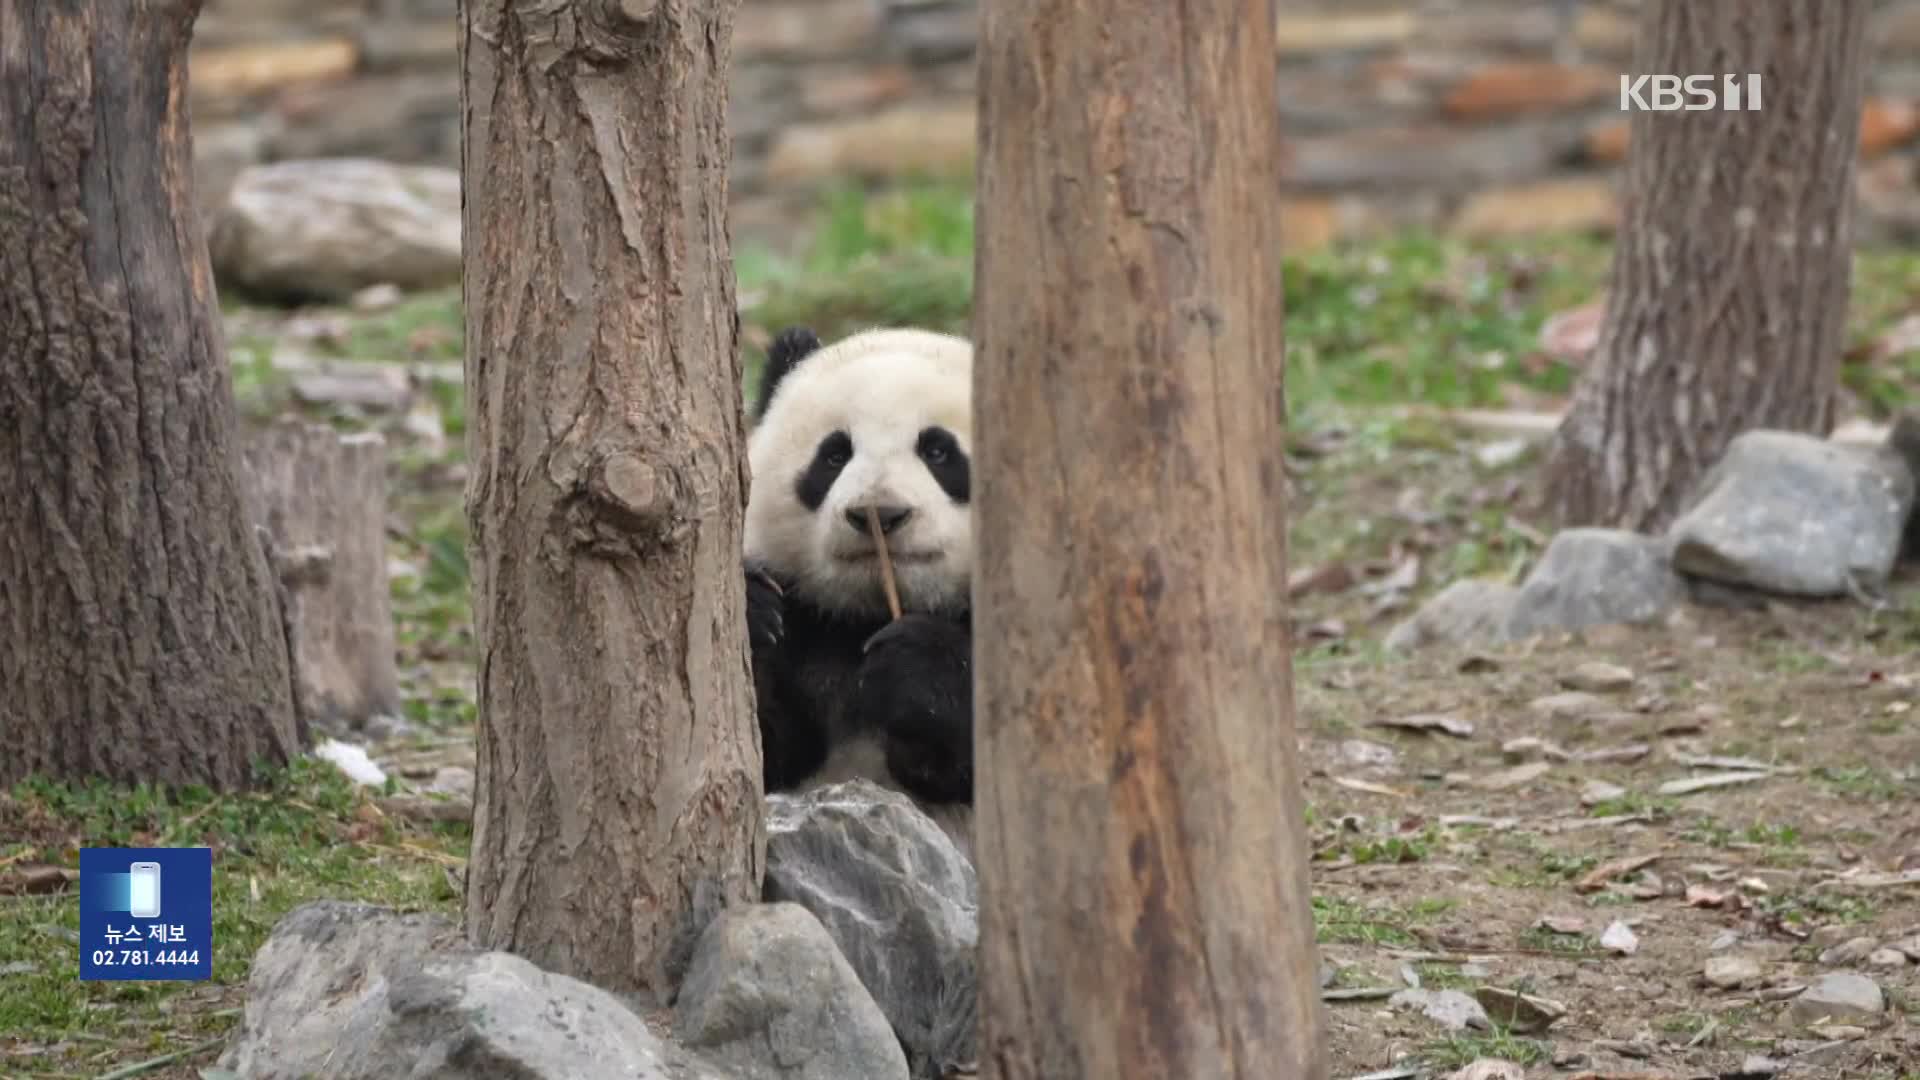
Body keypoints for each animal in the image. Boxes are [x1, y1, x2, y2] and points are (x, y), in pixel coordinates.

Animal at [733, 322, 975, 853]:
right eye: (834, 454)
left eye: (938, 451)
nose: (878, 514)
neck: (867, 617)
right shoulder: (811, 622)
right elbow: (768, 752)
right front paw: (754, 613)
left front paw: (915, 667)